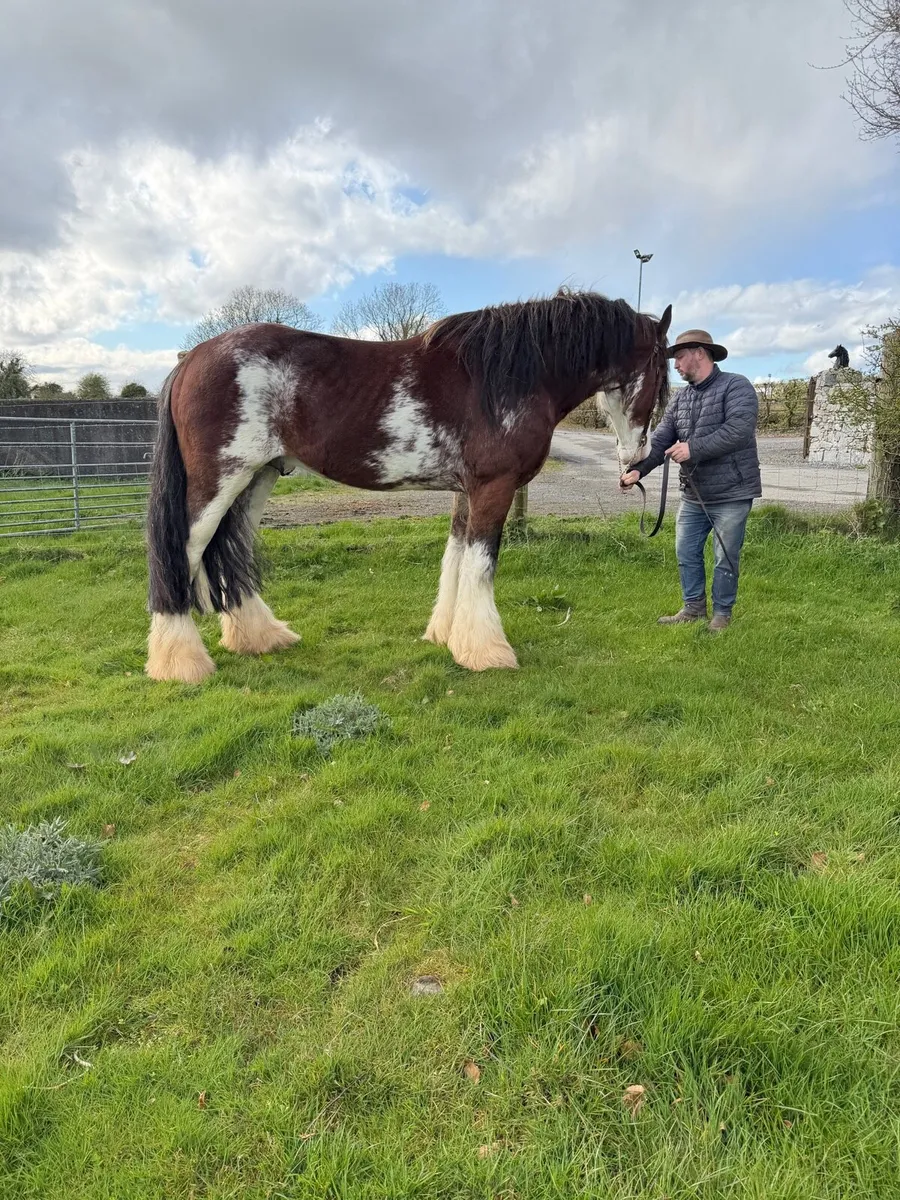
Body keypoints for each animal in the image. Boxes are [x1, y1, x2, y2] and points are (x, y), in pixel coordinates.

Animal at [145, 288, 672, 683]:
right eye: (661, 373)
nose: (637, 456)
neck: (509, 376)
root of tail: (192, 358)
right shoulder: (494, 487)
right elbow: (481, 564)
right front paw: (487, 651)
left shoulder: (466, 490)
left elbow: (456, 557)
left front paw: (447, 636)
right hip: (219, 481)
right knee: (181, 554)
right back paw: (180, 662)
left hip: (257, 479)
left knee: (228, 551)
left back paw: (258, 637)